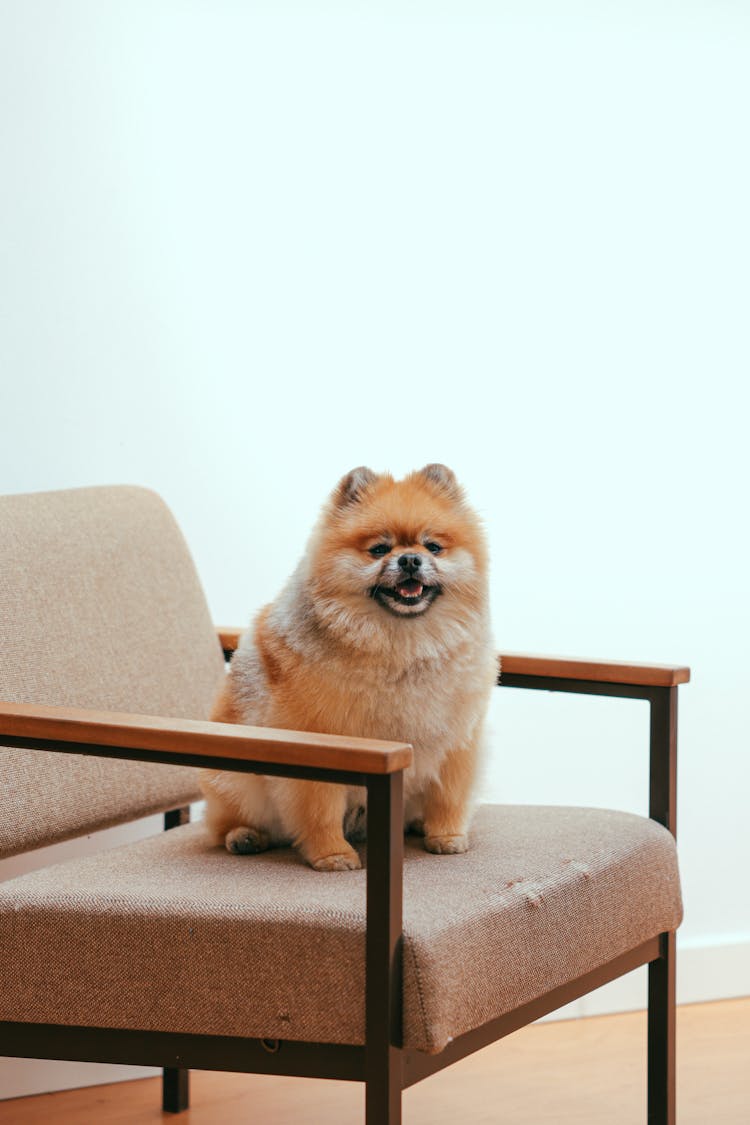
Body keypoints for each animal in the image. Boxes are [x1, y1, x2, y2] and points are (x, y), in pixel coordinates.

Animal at [201, 463, 499, 868]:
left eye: (432, 546)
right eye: (379, 549)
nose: (410, 559)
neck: (401, 643)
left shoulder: (457, 740)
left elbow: (449, 796)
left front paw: (447, 836)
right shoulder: (316, 741)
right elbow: (320, 808)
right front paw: (332, 855)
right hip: (234, 782)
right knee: (225, 823)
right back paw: (245, 836)